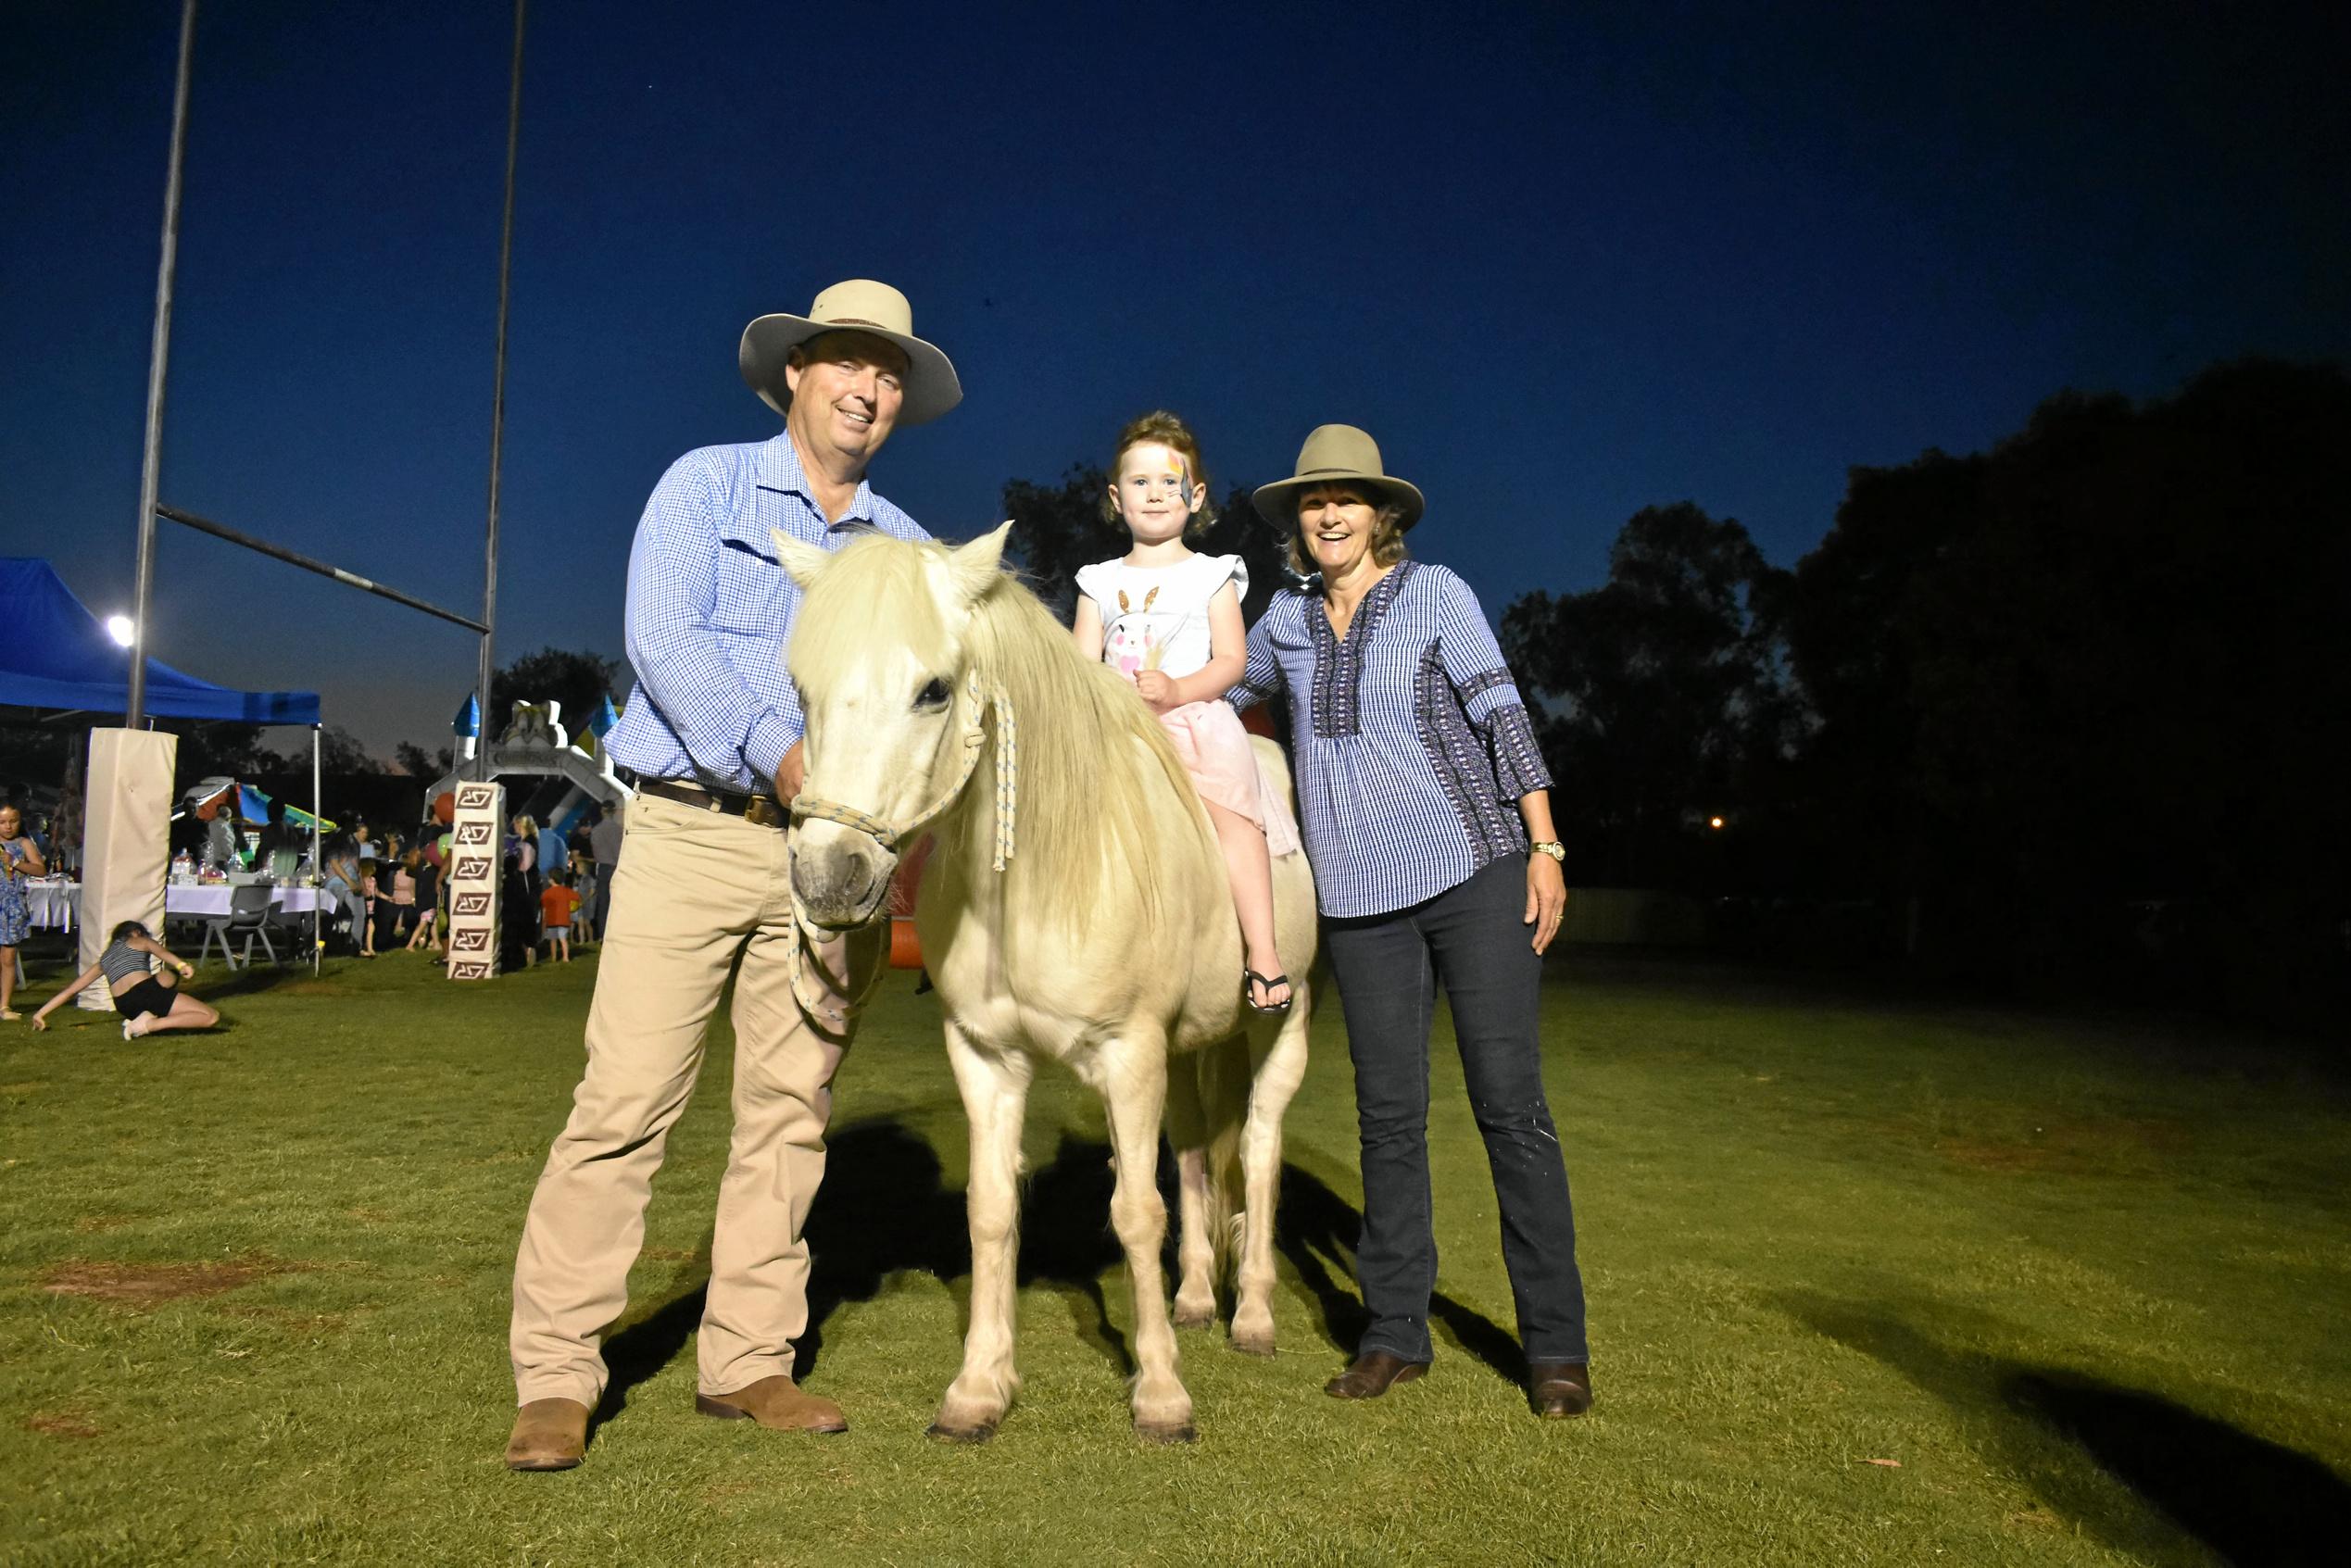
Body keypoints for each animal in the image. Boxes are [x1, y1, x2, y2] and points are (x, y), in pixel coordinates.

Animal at [780, 521, 1316, 1438]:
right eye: (801, 686)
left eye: (933, 690)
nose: (827, 877)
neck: (1042, 875)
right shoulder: (988, 1058)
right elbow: (993, 1211)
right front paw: (978, 1387)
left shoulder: (1129, 1056)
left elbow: (1137, 1213)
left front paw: (1161, 1393)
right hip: (1188, 1053)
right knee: (1199, 1156)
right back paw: (1197, 1297)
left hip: (1283, 1025)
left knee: (1258, 1148)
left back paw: (1251, 1314)